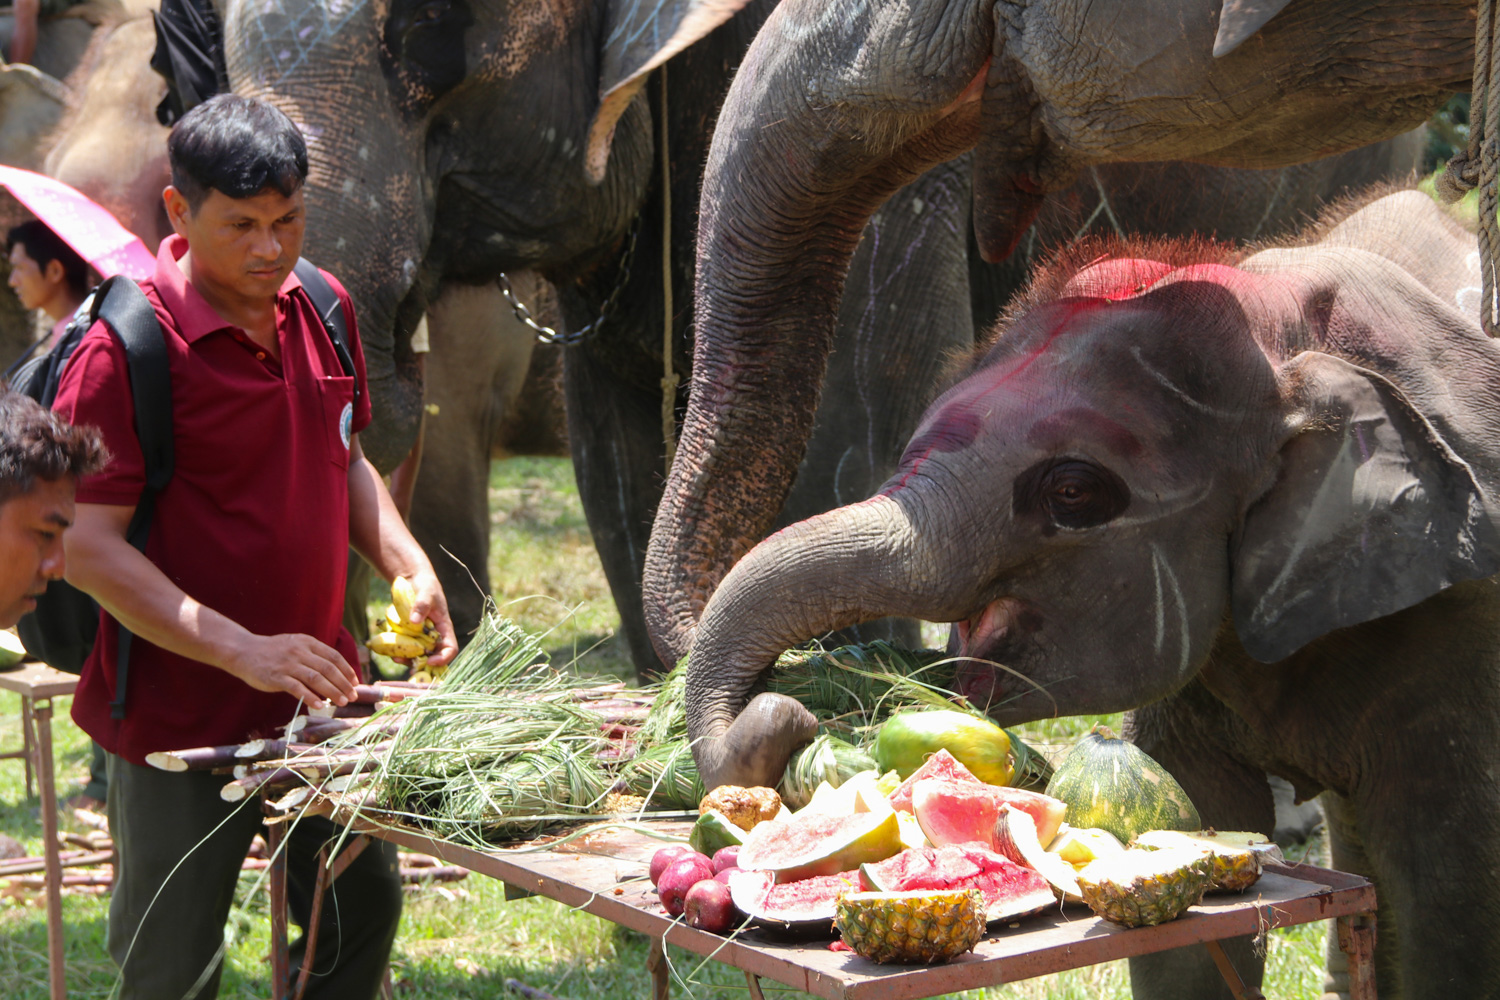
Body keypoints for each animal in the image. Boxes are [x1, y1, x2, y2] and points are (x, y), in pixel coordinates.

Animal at [682, 188, 1498, 999]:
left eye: (1072, 491)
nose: (790, 711)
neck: (1288, 328)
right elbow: (1193, 861)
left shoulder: (1466, 631)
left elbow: (1450, 896)